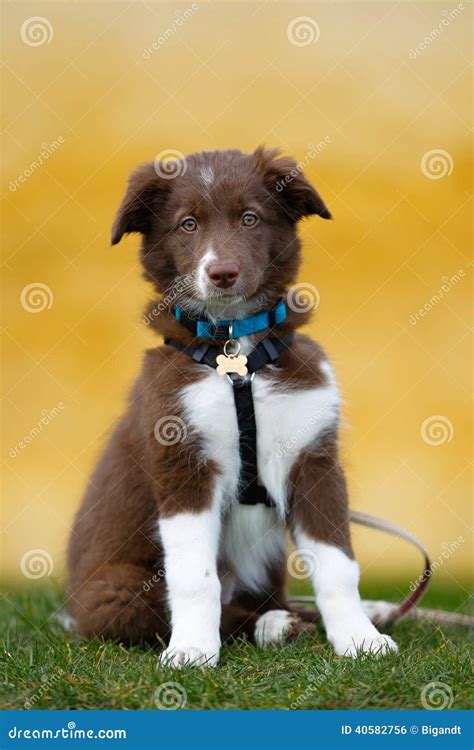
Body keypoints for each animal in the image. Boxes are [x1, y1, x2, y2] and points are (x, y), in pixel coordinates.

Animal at [66, 148, 398, 668]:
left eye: (249, 218)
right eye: (187, 224)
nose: (221, 273)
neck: (235, 352)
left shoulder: (313, 458)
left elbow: (337, 563)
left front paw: (359, 637)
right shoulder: (182, 461)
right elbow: (194, 577)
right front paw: (191, 650)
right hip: (113, 592)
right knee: (178, 608)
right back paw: (272, 626)